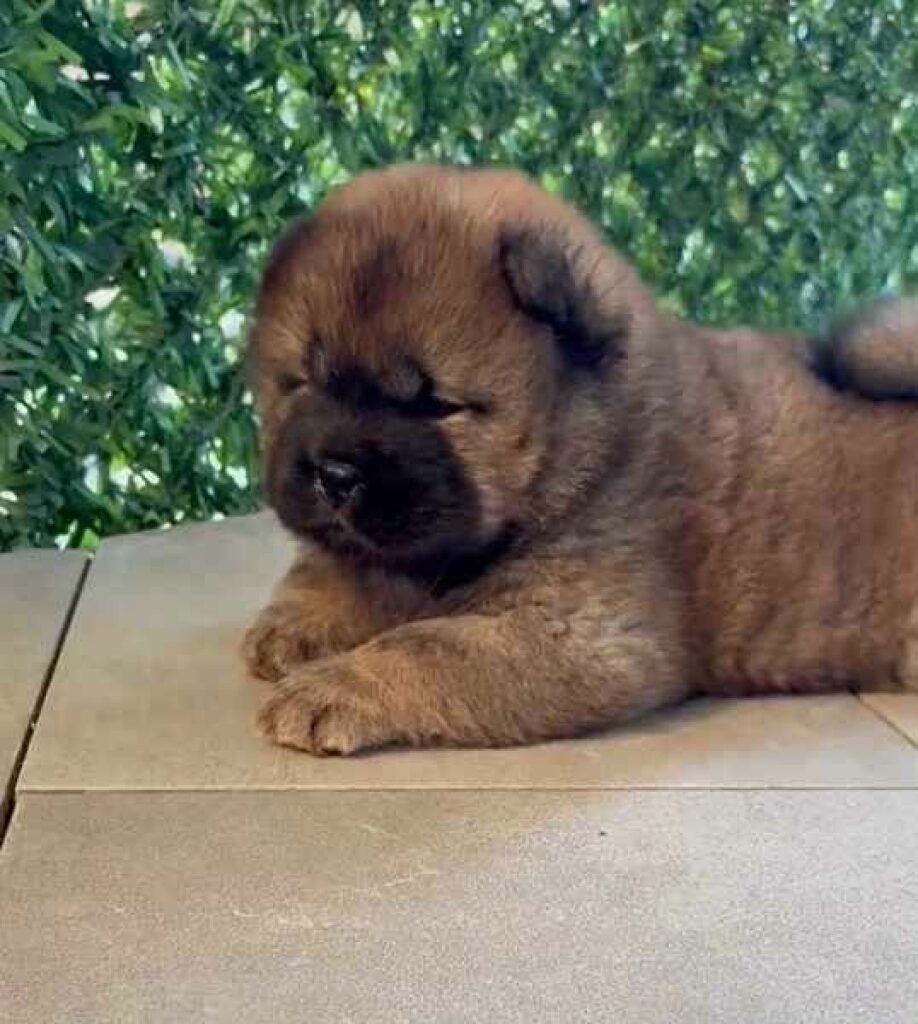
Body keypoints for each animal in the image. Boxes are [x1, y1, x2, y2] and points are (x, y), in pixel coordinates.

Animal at [243, 163, 918, 756]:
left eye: (436, 405)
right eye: (304, 381)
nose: (335, 473)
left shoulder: (578, 634)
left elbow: (426, 647)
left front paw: (327, 689)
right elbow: (352, 572)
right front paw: (294, 624)